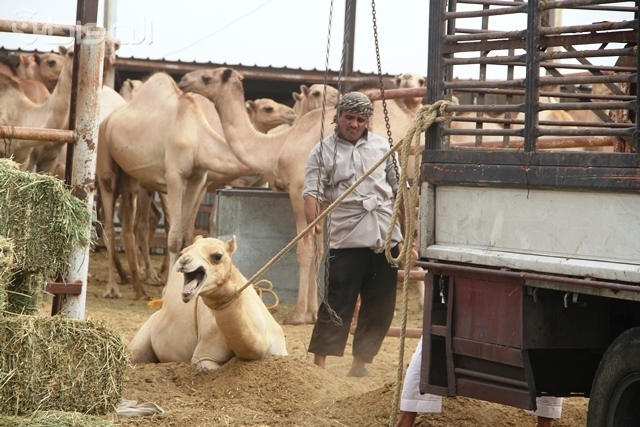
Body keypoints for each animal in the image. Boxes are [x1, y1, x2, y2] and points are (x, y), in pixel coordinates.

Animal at [95, 72, 255, 300]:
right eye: (206, 77)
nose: (185, 78)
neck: (198, 139)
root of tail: (107, 119)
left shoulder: (197, 178)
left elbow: (187, 237)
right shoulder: (174, 177)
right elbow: (174, 238)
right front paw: (166, 291)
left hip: (131, 176)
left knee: (127, 227)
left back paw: (139, 288)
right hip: (105, 162)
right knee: (108, 222)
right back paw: (113, 288)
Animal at [176, 67, 416, 324]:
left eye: (207, 77)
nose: (184, 80)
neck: (279, 145)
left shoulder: (299, 191)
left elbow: (304, 251)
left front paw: (299, 314)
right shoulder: (324, 200)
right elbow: (319, 252)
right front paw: (313, 311)